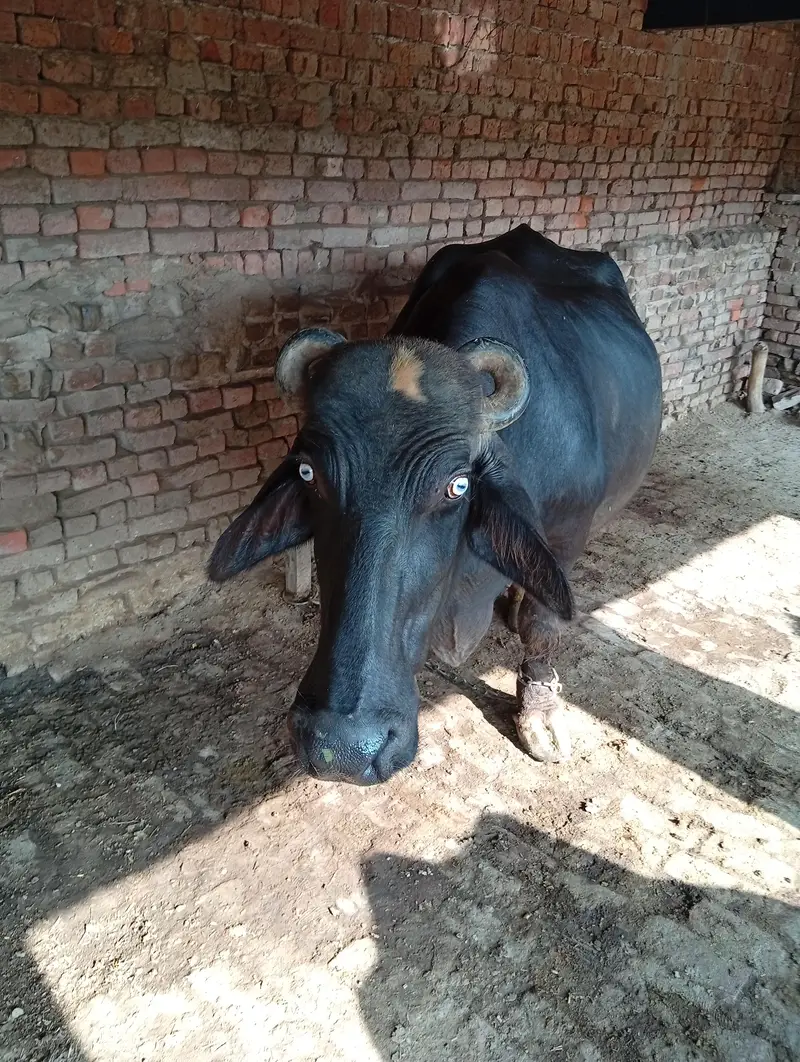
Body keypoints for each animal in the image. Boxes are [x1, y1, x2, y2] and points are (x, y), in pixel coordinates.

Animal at [209, 225, 662, 784]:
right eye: (310, 474)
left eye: (457, 486)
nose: (343, 746)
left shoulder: (567, 534)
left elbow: (543, 626)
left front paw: (540, 711)